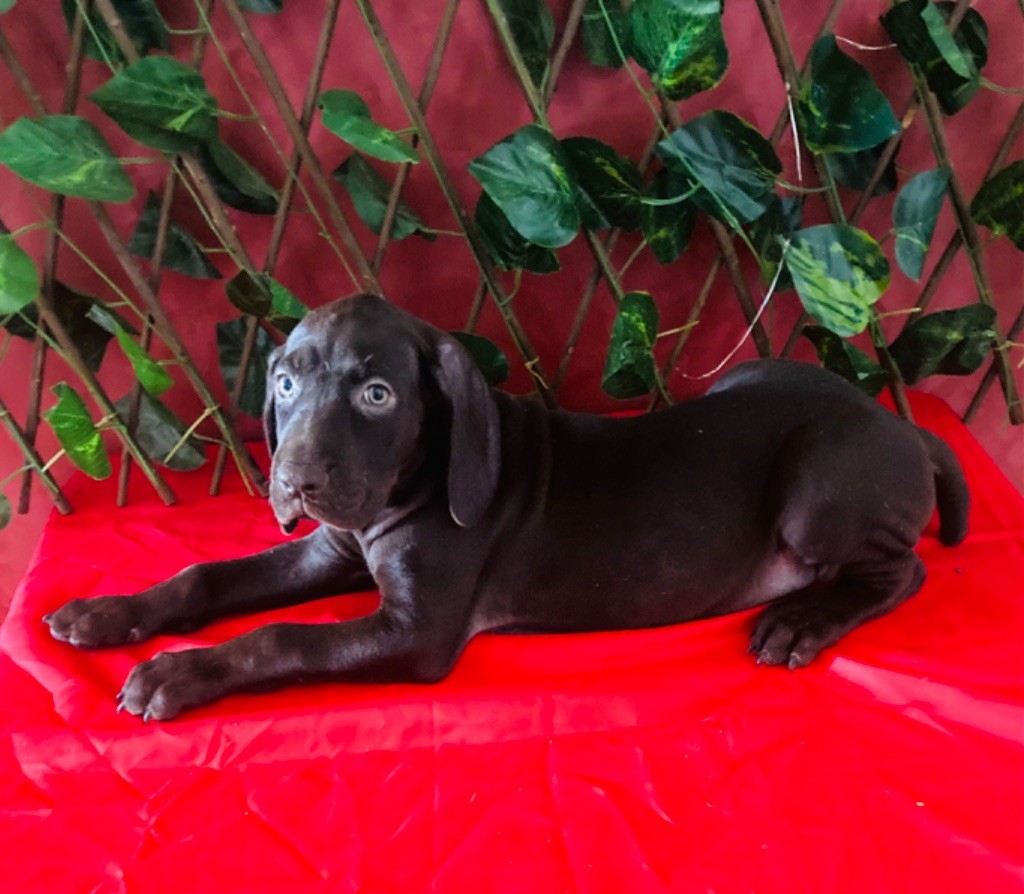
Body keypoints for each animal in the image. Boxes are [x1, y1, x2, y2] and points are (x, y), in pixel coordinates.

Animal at [45, 294, 969, 721]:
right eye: (284, 383)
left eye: (378, 394)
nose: (296, 480)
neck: (406, 489)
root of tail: (900, 423)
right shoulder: (329, 549)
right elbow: (208, 575)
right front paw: (108, 613)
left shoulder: (415, 631)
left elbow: (278, 637)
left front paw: (177, 672)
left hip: (817, 493)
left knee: (906, 568)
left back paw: (803, 621)